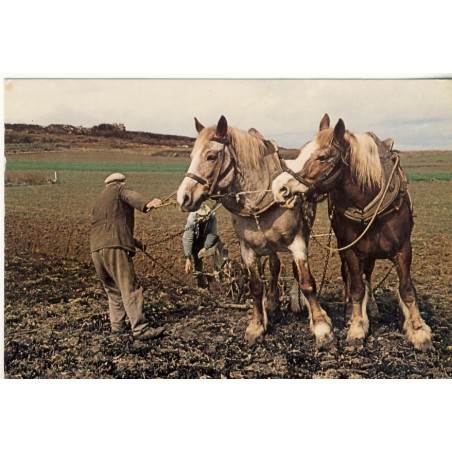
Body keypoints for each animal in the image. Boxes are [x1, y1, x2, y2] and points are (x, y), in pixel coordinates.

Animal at [177, 115, 336, 346]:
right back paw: (272, 304)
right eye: (190, 156)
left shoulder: (297, 243)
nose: (183, 198)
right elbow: (255, 286)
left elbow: (307, 281)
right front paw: (257, 325)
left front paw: (321, 326)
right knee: (274, 266)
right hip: (268, 244)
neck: (262, 196)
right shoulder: (248, 249)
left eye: (211, 156)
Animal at [270, 115, 432, 352]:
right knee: (352, 277)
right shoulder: (351, 250)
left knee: (369, 275)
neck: (369, 200)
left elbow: (406, 289)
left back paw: (372, 306)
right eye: (301, 151)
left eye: (322, 157)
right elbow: (356, 287)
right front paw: (357, 326)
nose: (279, 188)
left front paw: (419, 330)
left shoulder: (404, 249)